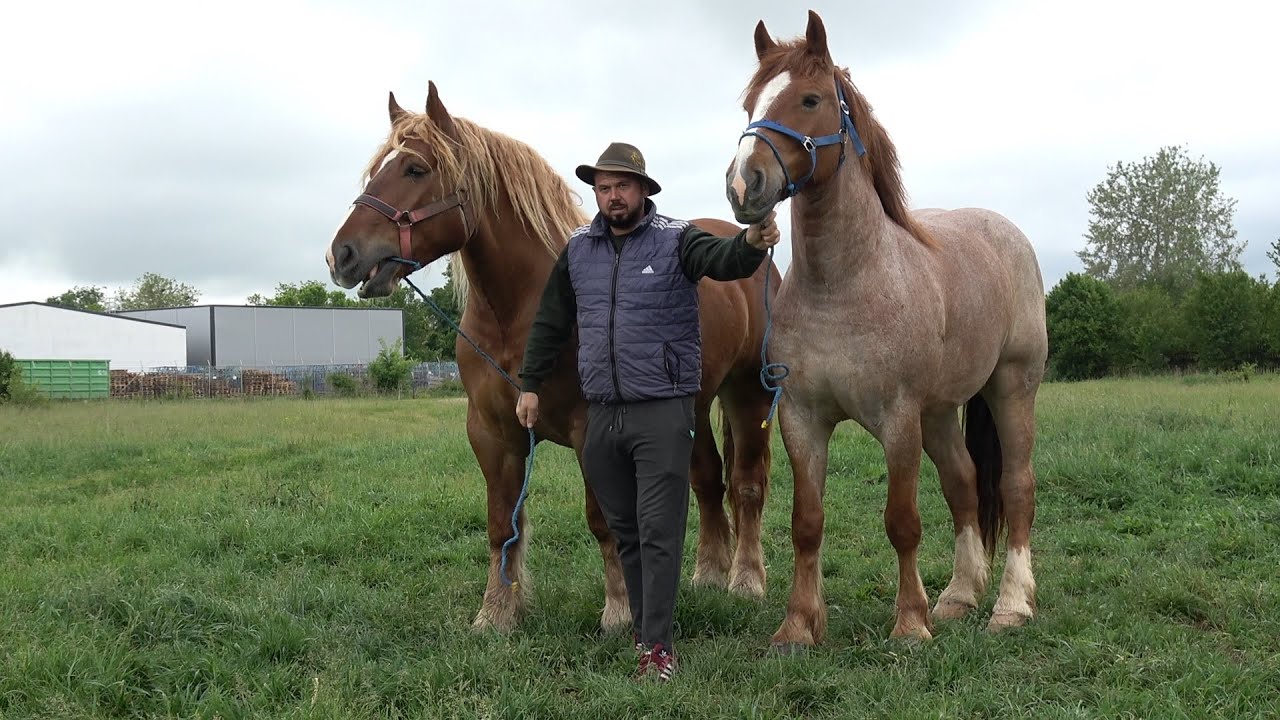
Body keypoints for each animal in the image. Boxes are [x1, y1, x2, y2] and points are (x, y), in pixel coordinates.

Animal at [326, 82, 780, 633]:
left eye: (415, 168)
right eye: (376, 169)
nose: (342, 255)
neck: (518, 313)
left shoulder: (592, 430)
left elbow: (604, 520)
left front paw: (619, 611)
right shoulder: (492, 434)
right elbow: (502, 525)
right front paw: (497, 612)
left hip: (748, 393)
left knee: (747, 485)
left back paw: (746, 580)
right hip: (689, 406)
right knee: (708, 480)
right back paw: (709, 574)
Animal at [724, 11, 1047, 647]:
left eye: (810, 99)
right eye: (750, 105)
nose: (745, 185)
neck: (842, 287)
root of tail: (1006, 231)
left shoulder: (898, 420)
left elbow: (902, 521)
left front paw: (910, 625)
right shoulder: (802, 418)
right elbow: (806, 522)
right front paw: (798, 626)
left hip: (1011, 387)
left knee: (1016, 487)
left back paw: (1010, 605)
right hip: (941, 412)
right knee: (964, 484)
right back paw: (959, 597)